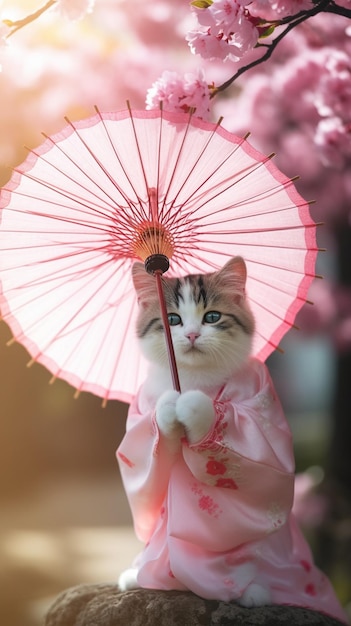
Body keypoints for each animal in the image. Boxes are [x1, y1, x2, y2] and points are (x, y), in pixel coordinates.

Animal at [117, 255, 350, 620]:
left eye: (212, 317)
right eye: (172, 320)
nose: (192, 334)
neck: (197, 377)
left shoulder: (263, 396)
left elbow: (264, 454)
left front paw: (193, 406)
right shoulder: (140, 412)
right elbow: (143, 463)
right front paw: (169, 407)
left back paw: (255, 591)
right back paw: (138, 575)